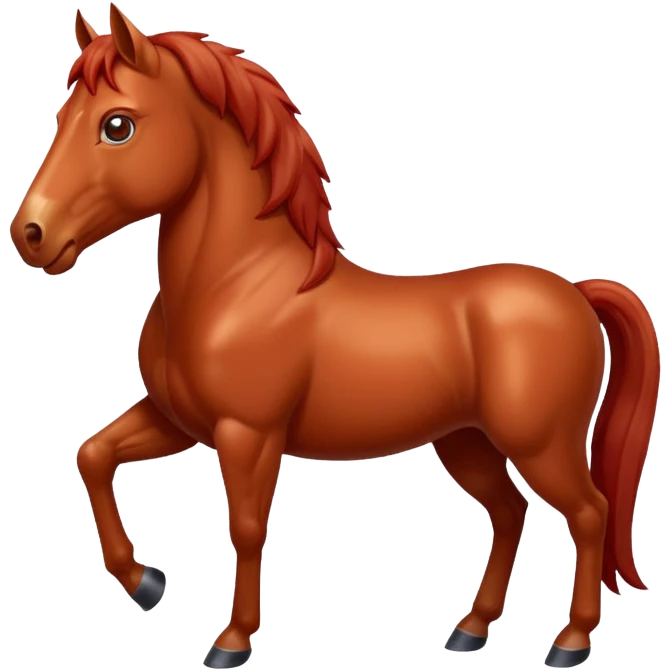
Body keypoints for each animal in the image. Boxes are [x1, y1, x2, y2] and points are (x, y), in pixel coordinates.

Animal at [9, 4, 661, 669]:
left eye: (117, 125)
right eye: (61, 117)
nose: (30, 234)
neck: (239, 284)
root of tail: (575, 293)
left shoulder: (247, 435)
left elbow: (246, 528)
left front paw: (232, 640)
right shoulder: (178, 421)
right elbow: (94, 456)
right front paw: (145, 583)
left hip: (540, 444)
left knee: (589, 513)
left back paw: (570, 641)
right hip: (467, 442)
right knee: (510, 513)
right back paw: (470, 630)